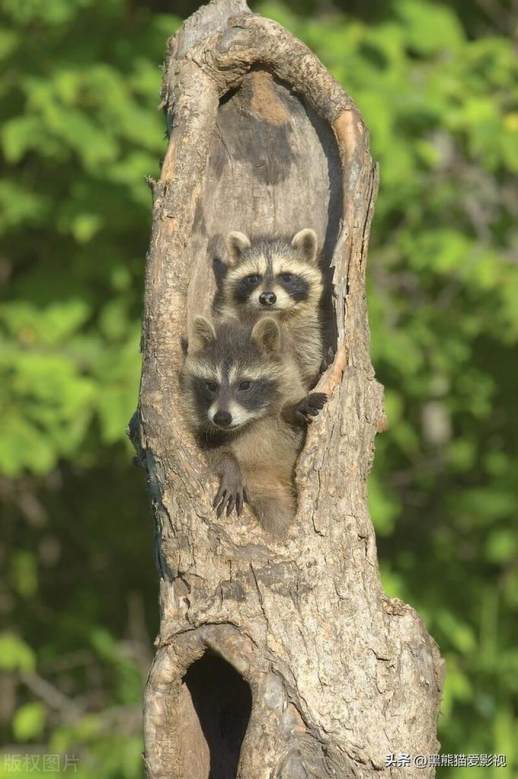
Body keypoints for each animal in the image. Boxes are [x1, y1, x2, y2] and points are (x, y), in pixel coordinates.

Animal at [182, 316, 330, 536]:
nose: (222, 418)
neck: (249, 422)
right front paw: (230, 466)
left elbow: (295, 433)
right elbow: (208, 447)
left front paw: (293, 410)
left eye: (244, 385)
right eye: (211, 385)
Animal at [212, 230, 324, 390]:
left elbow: (308, 362)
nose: (267, 297)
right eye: (253, 278)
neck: (273, 317)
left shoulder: (306, 334)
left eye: (286, 277)